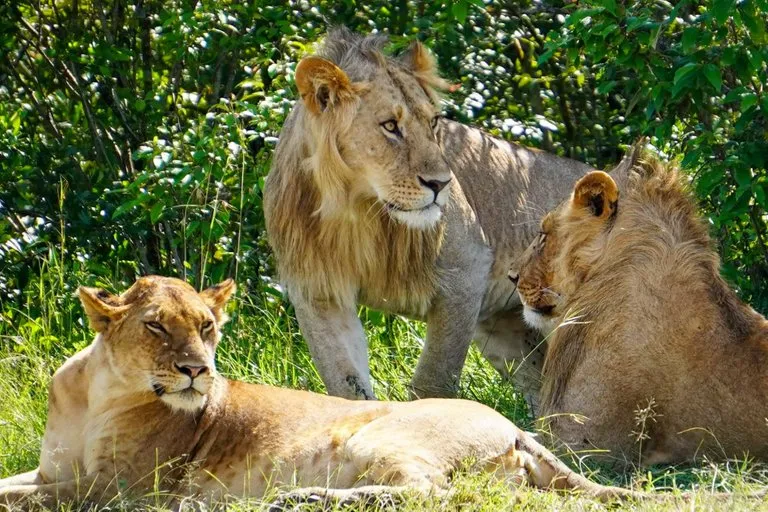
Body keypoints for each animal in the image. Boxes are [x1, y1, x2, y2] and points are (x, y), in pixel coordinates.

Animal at [0, 276, 642, 507]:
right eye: (156, 326)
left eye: (206, 327)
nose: (196, 371)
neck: (99, 393)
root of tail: (514, 426)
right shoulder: (58, 471)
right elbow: (18, 483)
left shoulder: (123, 489)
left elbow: (28, 497)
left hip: (377, 437)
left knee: (427, 493)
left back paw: (295, 499)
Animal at [263, 28, 594, 406]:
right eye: (390, 126)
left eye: (433, 122)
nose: (441, 183)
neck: (354, 209)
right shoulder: (318, 292)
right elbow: (346, 384)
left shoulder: (466, 272)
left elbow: (434, 381)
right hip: (507, 331)